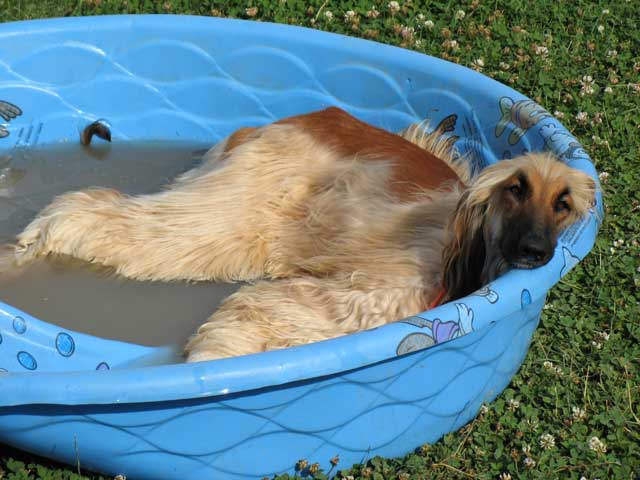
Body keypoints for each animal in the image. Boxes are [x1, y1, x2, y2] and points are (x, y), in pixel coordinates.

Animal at [6, 107, 596, 362]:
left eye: (563, 203)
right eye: (516, 188)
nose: (536, 251)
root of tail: (312, 115)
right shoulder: (363, 294)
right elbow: (252, 321)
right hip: (249, 194)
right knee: (94, 214)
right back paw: (23, 251)